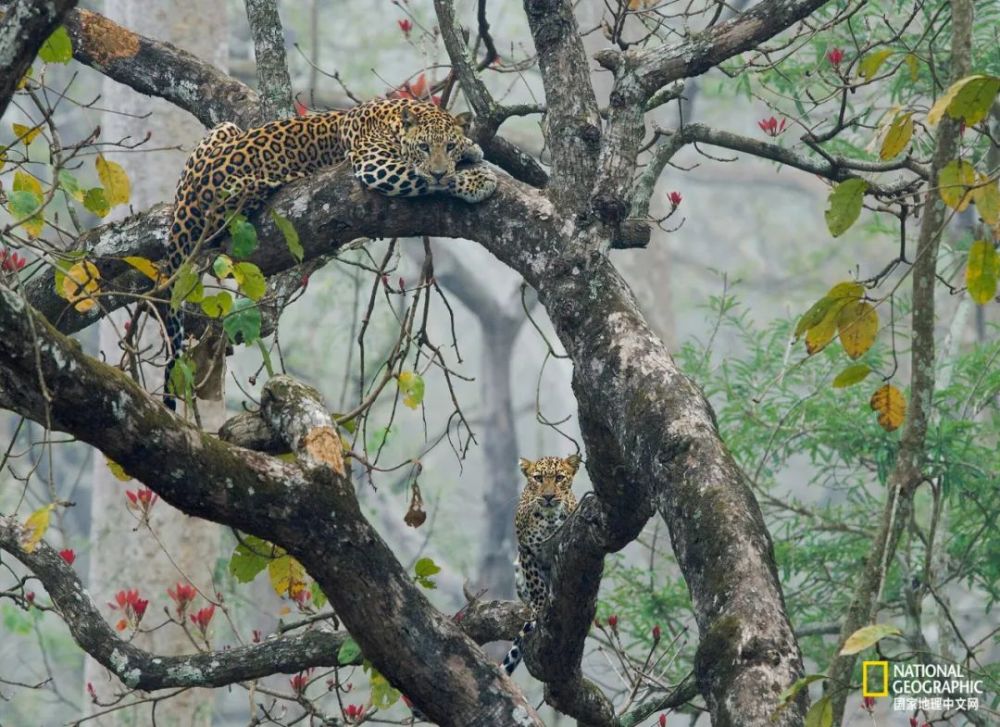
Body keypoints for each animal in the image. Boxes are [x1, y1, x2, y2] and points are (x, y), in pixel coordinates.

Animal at [161, 98, 500, 410]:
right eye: (424, 147)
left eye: (449, 146)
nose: (441, 169)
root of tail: (187, 200)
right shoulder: (377, 165)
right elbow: (425, 179)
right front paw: (476, 181)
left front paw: (471, 148)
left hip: (223, 129)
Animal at [498, 456, 580, 676]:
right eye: (538, 478)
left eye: (560, 478)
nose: (549, 496)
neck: (550, 518)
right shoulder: (526, 550)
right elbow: (536, 583)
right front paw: (540, 606)